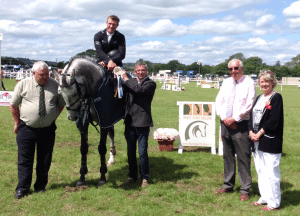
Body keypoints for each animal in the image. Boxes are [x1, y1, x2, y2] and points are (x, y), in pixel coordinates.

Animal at [53, 56, 119, 186]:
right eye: (60, 93)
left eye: (74, 93)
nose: (72, 117)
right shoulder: (84, 124)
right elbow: (83, 148)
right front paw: (82, 177)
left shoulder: (104, 121)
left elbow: (101, 148)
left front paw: (102, 177)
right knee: (111, 134)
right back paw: (111, 159)